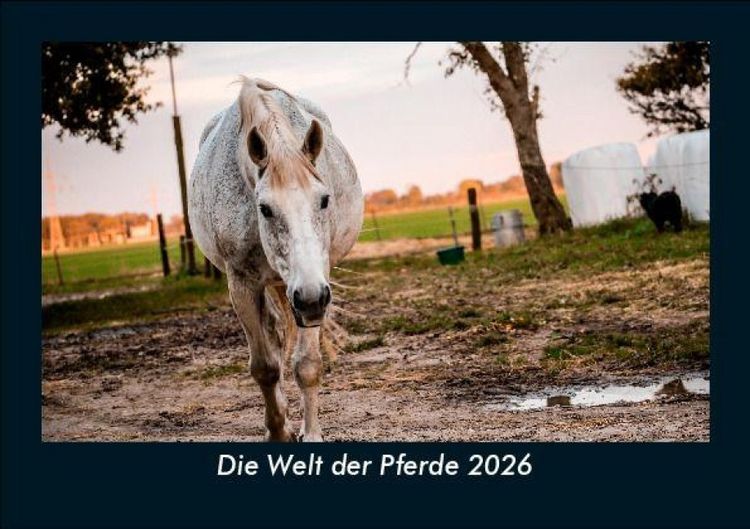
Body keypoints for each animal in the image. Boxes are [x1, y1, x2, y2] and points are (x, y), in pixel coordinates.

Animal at [188, 77, 364, 441]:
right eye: (265, 208)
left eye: (324, 199)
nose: (310, 298)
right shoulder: (242, 284)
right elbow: (266, 367)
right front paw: (279, 431)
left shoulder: (316, 287)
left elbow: (307, 365)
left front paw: (310, 433)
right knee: (272, 335)